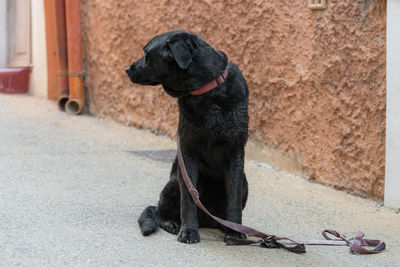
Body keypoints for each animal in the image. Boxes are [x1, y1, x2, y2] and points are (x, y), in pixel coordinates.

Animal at [126, 30, 248, 244]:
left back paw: (223, 226)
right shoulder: (188, 151)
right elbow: (189, 199)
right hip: (174, 182)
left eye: (147, 54)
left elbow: (233, 198)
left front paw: (235, 233)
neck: (207, 90)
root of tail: (207, 220)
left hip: (245, 182)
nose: (126, 69)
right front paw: (189, 231)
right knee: (159, 211)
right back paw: (173, 224)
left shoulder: (235, 152)